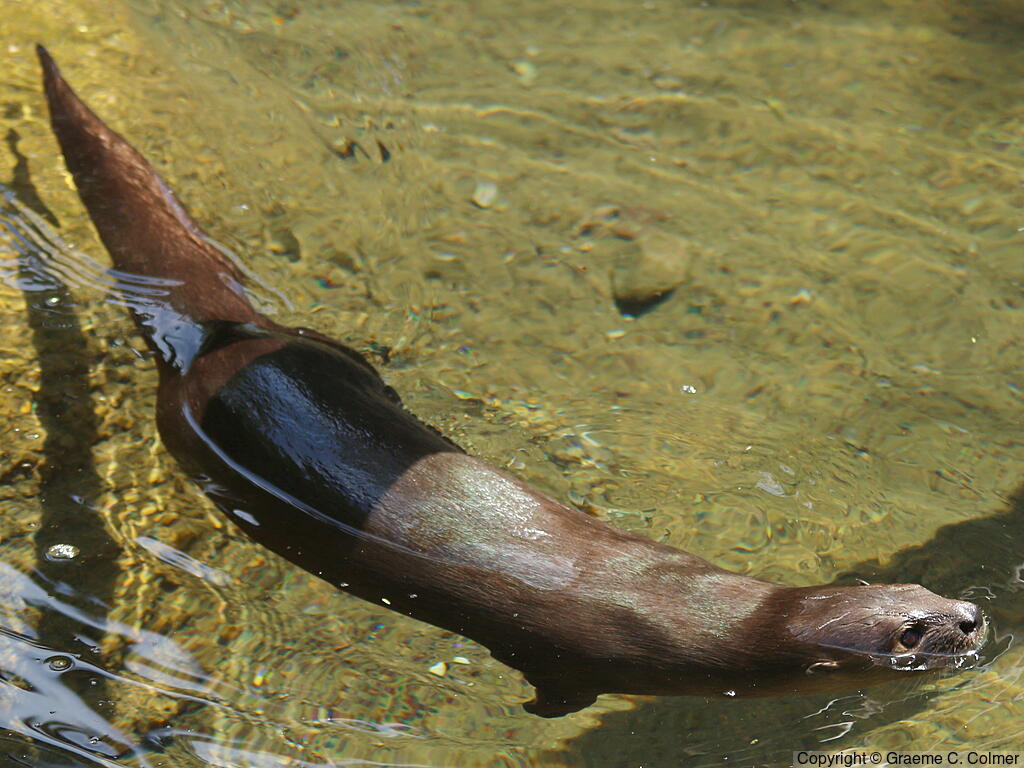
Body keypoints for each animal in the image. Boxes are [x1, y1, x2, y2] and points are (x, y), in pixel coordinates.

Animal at [36, 46, 985, 717]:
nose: (974, 617)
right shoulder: (581, 654)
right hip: (192, 427)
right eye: (914, 630)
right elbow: (554, 688)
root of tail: (221, 340)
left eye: (927, 590)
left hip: (318, 352)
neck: (701, 615)